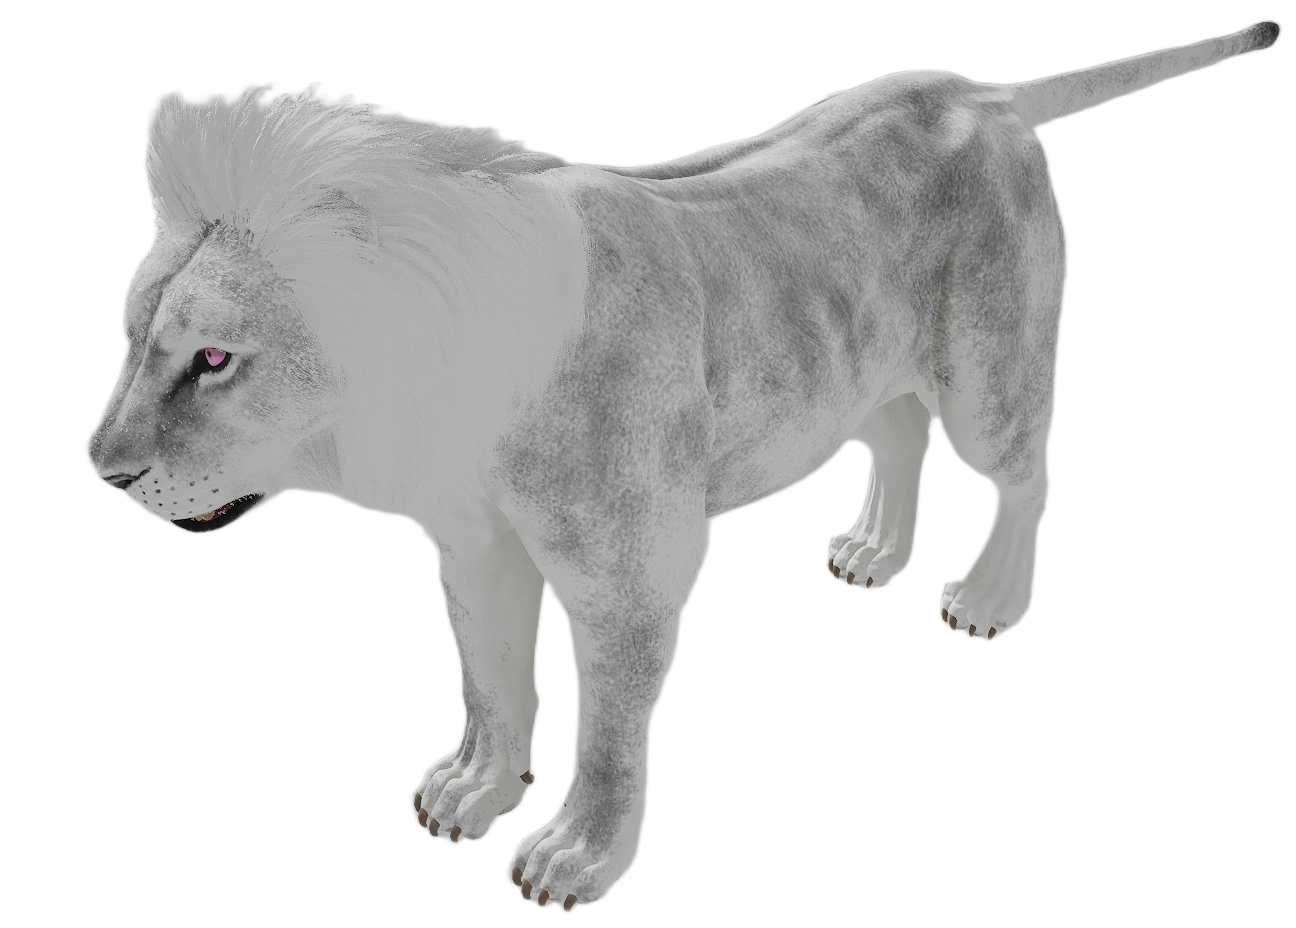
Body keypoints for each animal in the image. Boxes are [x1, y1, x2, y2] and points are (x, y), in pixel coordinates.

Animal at [84, 19, 1282, 912]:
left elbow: (609, 729)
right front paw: (471, 790)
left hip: (991, 372)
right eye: (133, 336)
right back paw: (872, 553)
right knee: (898, 435)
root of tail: (988, 94)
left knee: (1026, 476)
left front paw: (574, 856)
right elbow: (492, 683)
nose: (99, 469)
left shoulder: (634, 574)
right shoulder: (475, 552)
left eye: (216, 358)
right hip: (872, 364)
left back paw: (987, 599)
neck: (456, 385)